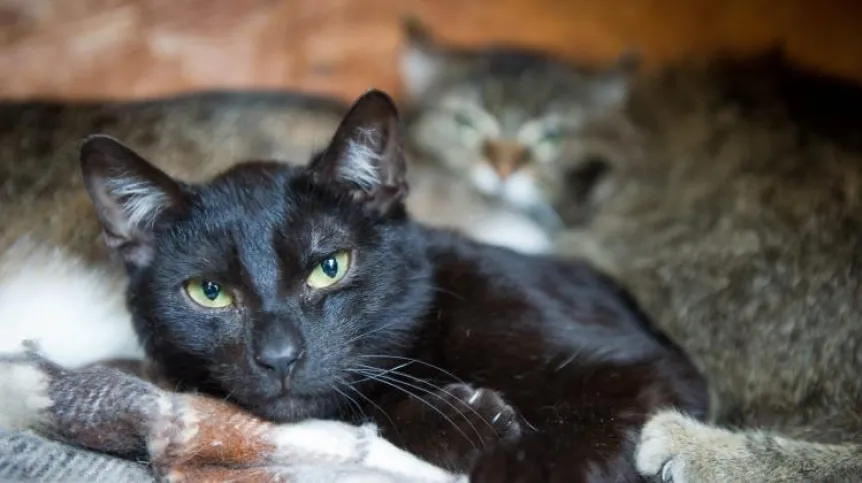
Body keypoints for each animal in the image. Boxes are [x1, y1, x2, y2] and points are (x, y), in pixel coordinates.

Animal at [79, 89, 708, 482]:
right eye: (209, 293)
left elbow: (593, 425)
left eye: (329, 267)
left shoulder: (651, 370)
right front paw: (466, 421)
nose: (279, 356)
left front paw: (524, 463)